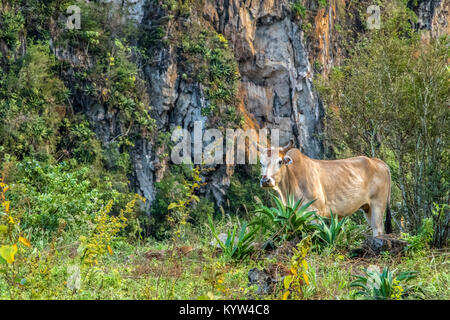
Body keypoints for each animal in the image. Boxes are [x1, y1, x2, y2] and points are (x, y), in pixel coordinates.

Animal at [258, 140, 392, 238]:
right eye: (261, 163)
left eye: (280, 161)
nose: (265, 181)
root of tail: (379, 162)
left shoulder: (314, 213)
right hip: (367, 207)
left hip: (378, 204)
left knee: (378, 229)